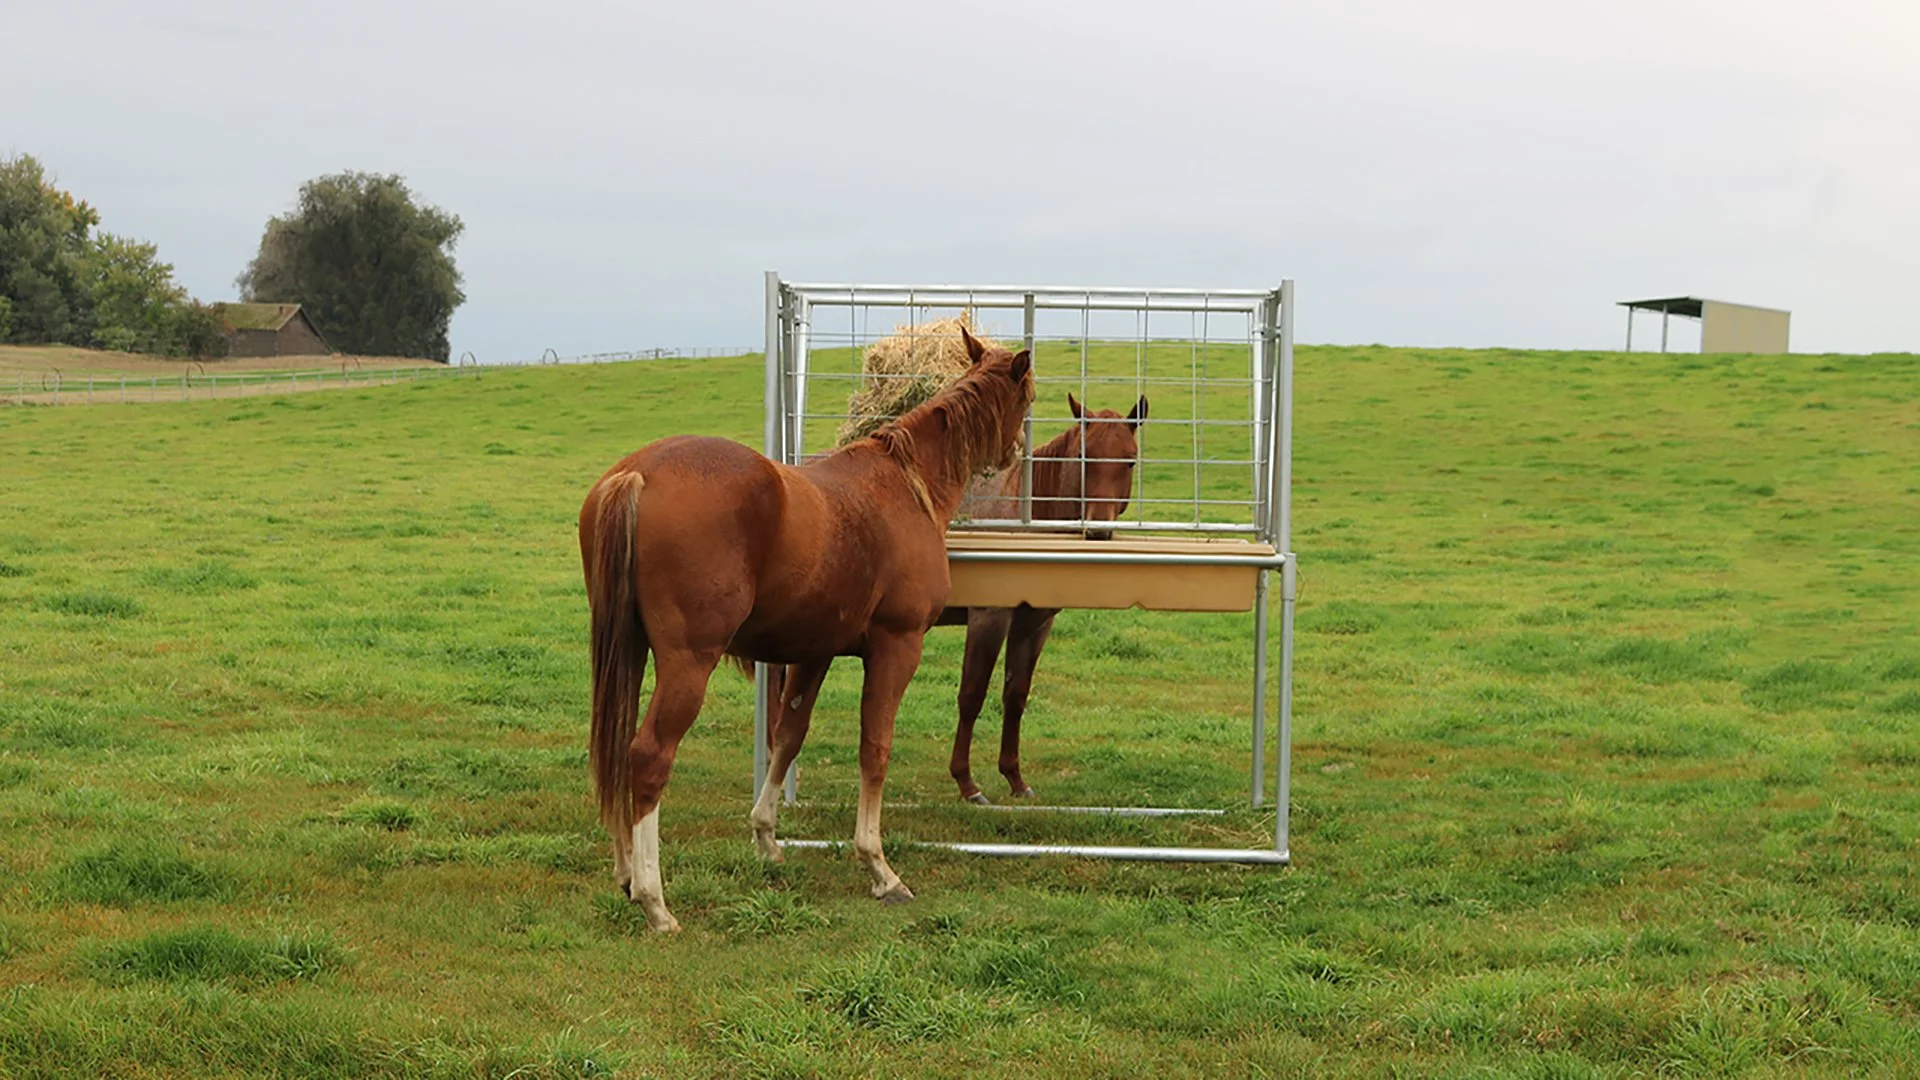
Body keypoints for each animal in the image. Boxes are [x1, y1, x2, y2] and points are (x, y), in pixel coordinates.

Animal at [578, 326, 1032, 931]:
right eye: (1026, 399)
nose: (1014, 450)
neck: (905, 483)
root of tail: (638, 473)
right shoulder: (897, 647)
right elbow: (874, 747)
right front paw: (879, 868)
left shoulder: (815, 652)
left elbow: (789, 738)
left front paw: (766, 838)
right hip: (687, 663)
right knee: (648, 756)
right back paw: (655, 901)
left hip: (627, 652)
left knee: (616, 749)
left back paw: (629, 877)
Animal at [939, 392, 1147, 803]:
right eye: (1084, 457)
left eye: (1130, 459)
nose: (1098, 531)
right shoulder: (988, 617)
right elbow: (971, 695)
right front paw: (967, 783)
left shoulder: (1033, 624)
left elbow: (1015, 696)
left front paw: (1015, 778)